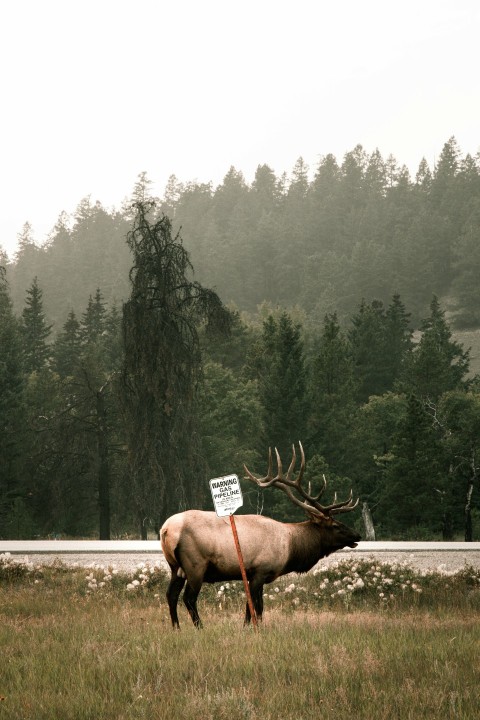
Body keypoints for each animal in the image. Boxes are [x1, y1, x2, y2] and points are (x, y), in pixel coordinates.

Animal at [160, 442, 360, 628]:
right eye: (335, 525)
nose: (357, 535)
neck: (291, 547)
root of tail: (166, 530)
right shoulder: (260, 570)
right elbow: (257, 606)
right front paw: (256, 628)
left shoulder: (253, 575)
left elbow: (252, 607)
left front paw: (248, 626)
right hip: (195, 564)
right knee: (188, 598)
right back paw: (200, 627)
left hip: (175, 567)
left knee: (170, 594)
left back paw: (176, 627)